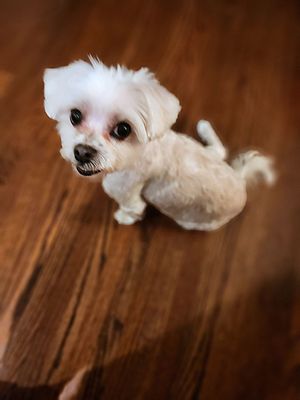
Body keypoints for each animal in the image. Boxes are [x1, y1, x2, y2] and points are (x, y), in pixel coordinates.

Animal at [43, 57, 276, 230]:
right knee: (220, 149)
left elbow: (132, 209)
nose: (82, 152)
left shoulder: (125, 191)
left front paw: (124, 218)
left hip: (194, 221)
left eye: (123, 129)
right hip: (209, 152)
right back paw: (205, 128)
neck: (138, 153)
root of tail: (240, 180)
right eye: (75, 116)